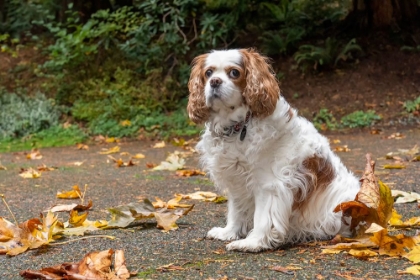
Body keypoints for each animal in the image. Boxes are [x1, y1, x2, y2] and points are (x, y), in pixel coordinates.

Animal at [188, 48, 360, 252]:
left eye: (234, 73)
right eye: (208, 73)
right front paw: (229, 232)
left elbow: (263, 217)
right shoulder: (237, 181)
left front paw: (253, 242)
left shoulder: (269, 184)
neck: (239, 126)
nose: (214, 81)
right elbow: (236, 210)